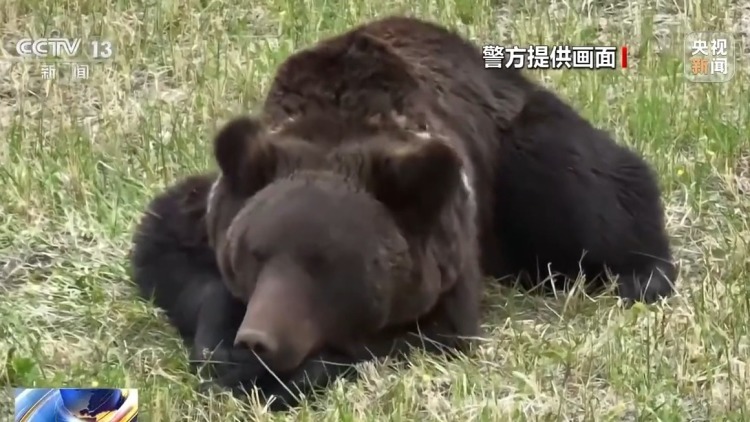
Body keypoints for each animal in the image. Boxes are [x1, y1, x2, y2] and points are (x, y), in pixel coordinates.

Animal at [129, 15, 676, 410]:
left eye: (326, 265)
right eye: (252, 254)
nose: (260, 339)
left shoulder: (444, 255)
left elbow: (417, 336)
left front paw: (289, 374)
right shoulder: (220, 203)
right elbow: (168, 247)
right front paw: (227, 352)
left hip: (518, 157)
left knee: (591, 190)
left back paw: (642, 274)